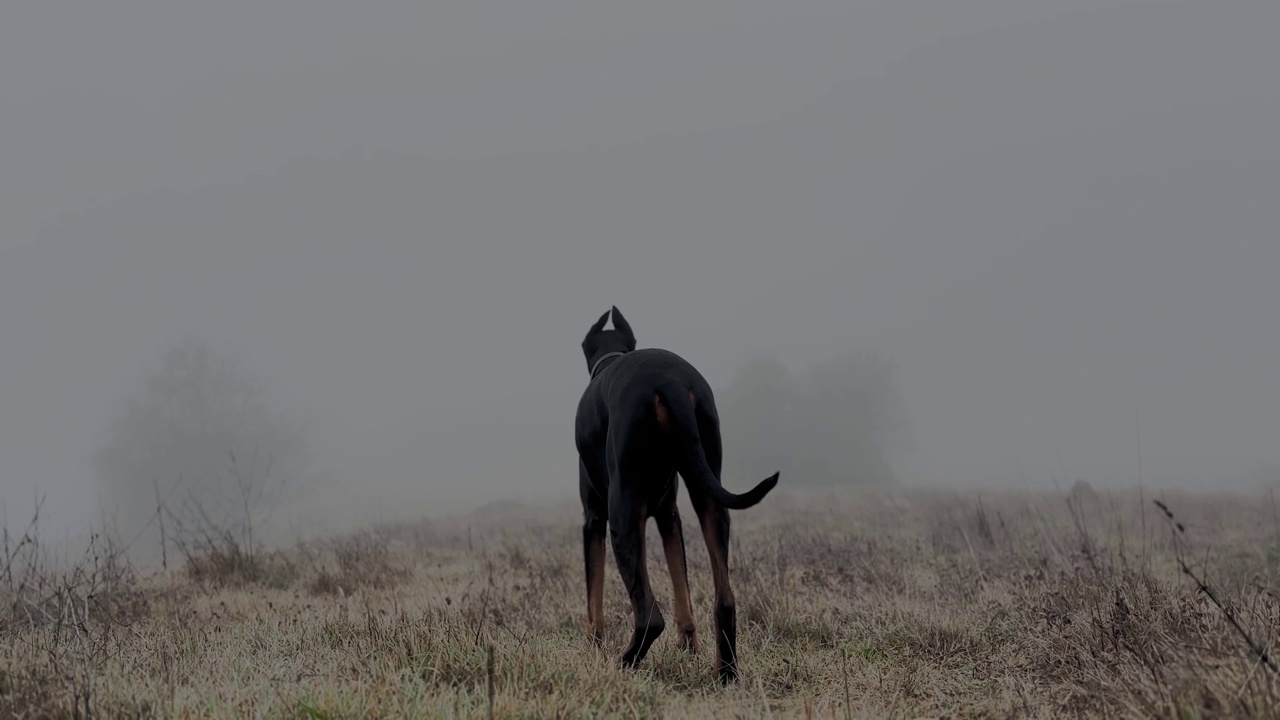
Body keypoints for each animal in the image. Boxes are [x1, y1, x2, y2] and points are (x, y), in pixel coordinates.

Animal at [576, 304, 773, 681]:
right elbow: (681, 584)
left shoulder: (593, 519)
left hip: (623, 515)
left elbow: (594, 596)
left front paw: (592, 645)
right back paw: (725, 673)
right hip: (709, 490)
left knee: (650, 617)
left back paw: (623, 664)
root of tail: (670, 383)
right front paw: (688, 647)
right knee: (725, 599)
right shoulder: (669, 516)